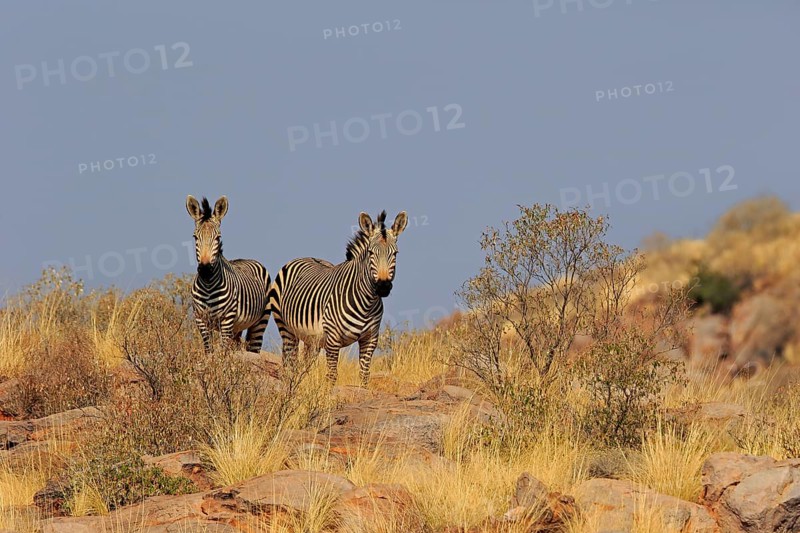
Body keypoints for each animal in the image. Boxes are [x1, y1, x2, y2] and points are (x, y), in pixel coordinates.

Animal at [185, 195, 271, 353]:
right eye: (195, 237)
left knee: (254, 348)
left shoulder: (227, 320)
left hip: (260, 322)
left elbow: (222, 353)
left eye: (218, 238)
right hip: (237, 328)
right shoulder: (201, 320)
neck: (208, 285)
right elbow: (209, 351)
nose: (205, 270)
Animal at [268, 210, 407, 385]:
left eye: (395, 253)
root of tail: (305, 257)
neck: (367, 303)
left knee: (305, 365)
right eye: (370, 253)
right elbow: (332, 375)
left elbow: (364, 375)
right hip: (286, 328)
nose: (383, 286)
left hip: (311, 339)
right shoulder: (333, 339)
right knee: (290, 363)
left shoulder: (370, 339)